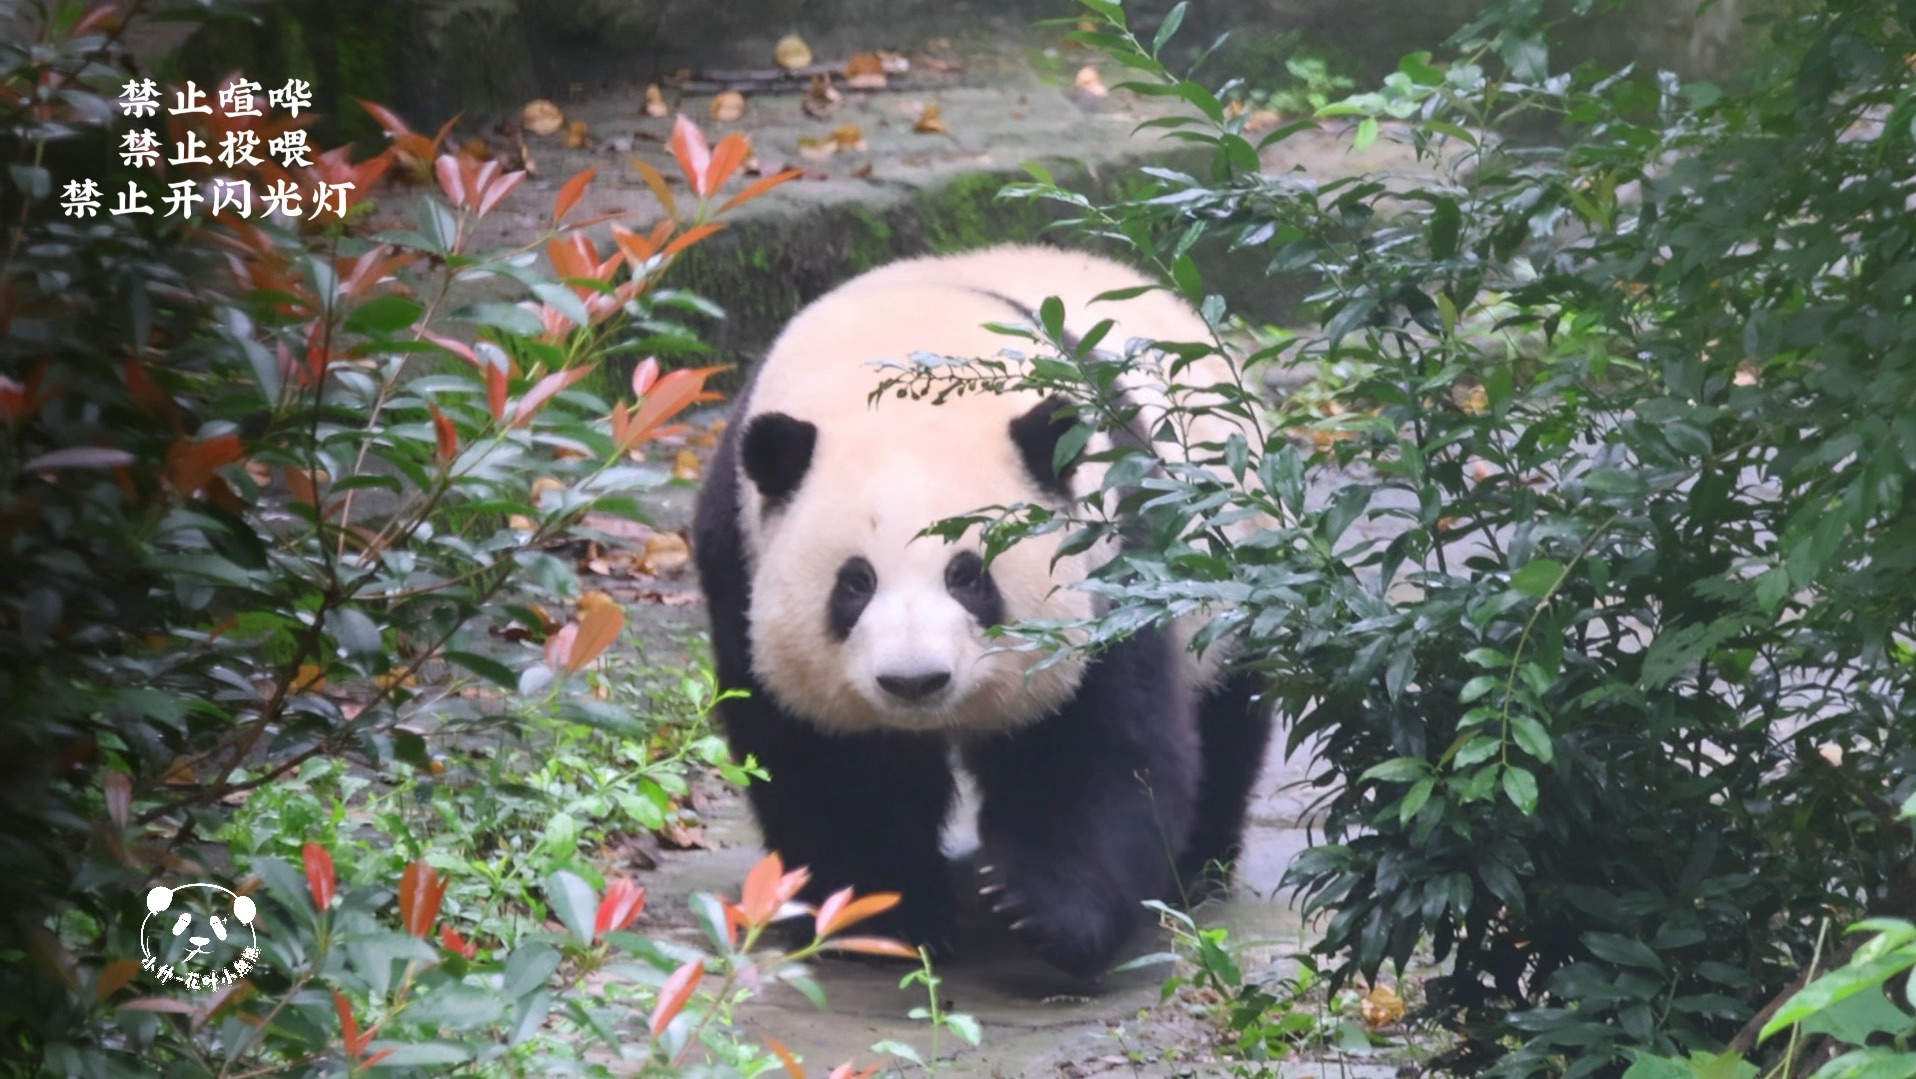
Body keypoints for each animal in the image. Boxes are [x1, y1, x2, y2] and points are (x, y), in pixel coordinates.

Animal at [689, 245, 1272, 981]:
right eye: (855, 583)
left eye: (968, 575)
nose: (914, 681)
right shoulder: (736, 558)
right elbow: (828, 761)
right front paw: (883, 916)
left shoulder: (1115, 545)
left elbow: (1098, 741)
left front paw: (1046, 911)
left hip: (1234, 561)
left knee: (1228, 709)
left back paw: (1198, 867)